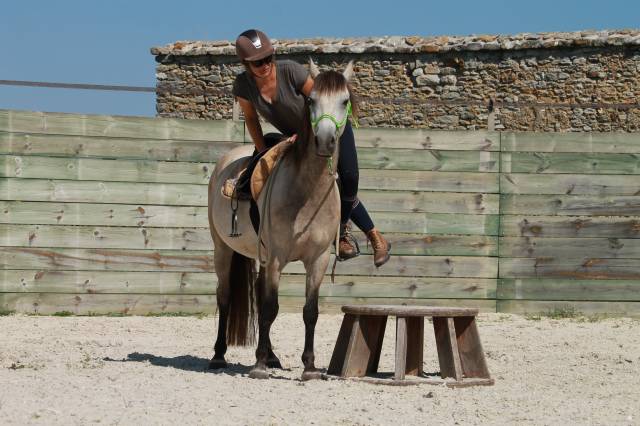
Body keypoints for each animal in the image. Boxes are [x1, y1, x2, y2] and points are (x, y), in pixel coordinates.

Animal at [206, 60, 356, 380]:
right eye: (311, 100)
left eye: (344, 101)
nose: (325, 141)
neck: (306, 193)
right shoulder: (276, 258)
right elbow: (270, 307)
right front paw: (260, 365)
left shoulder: (318, 259)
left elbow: (309, 311)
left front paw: (309, 366)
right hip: (222, 249)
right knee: (224, 296)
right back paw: (218, 355)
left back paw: (272, 355)